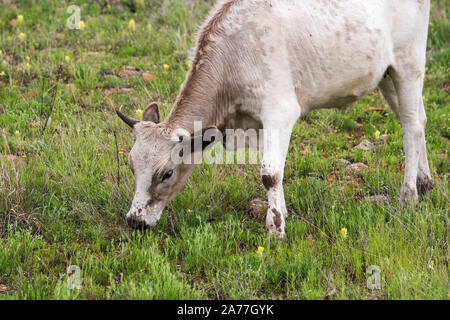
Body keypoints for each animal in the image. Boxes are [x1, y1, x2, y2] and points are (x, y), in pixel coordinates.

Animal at [116, 0, 432, 240]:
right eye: (131, 165)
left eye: (167, 173)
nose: (134, 221)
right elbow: (274, 171)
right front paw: (282, 213)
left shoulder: (280, 110)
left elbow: (269, 173)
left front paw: (276, 229)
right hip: (386, 74)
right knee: (418, 118)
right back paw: (425, 182)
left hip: (409, 62)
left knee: (411, 125)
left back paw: (409, 196)